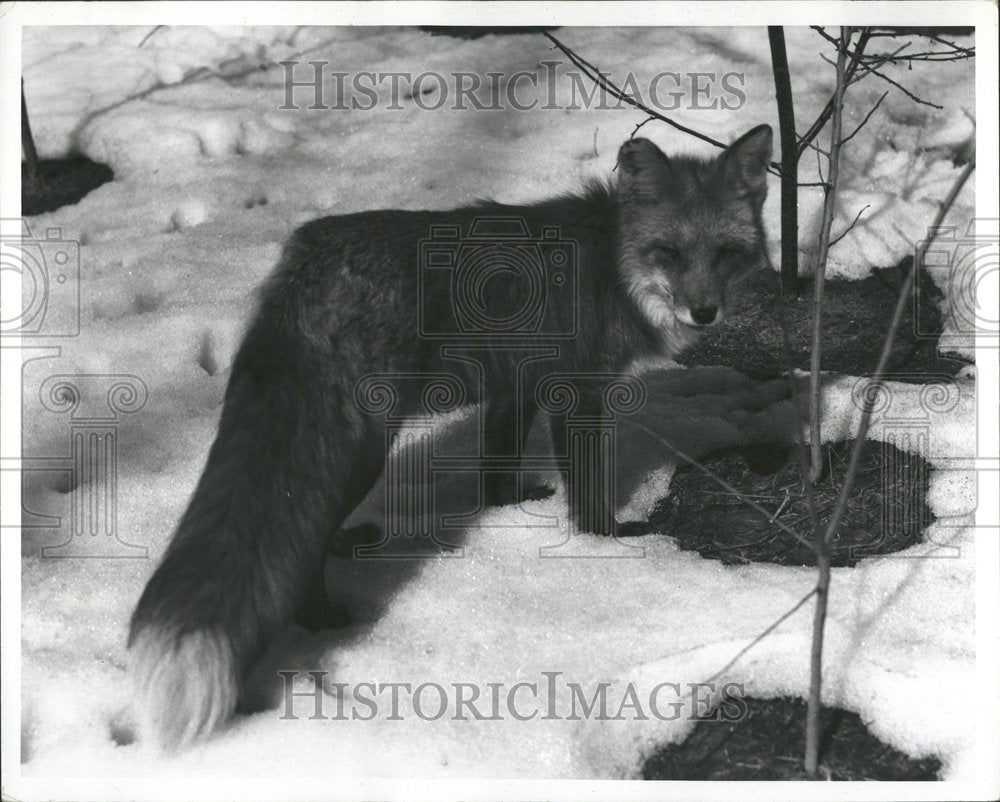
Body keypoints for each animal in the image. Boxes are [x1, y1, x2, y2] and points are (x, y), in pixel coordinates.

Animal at [127, 122, 772, 748]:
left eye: (726, 253)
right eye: (669, 252)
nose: (705, 312)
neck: (611, 267)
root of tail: (304, 255)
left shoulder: (516, 387)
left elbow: (496, 470)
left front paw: (508, 509)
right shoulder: (576, 393)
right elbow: (587, 494)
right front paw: (602, 545)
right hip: (363, 444)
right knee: (304, 535)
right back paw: (328, 620)